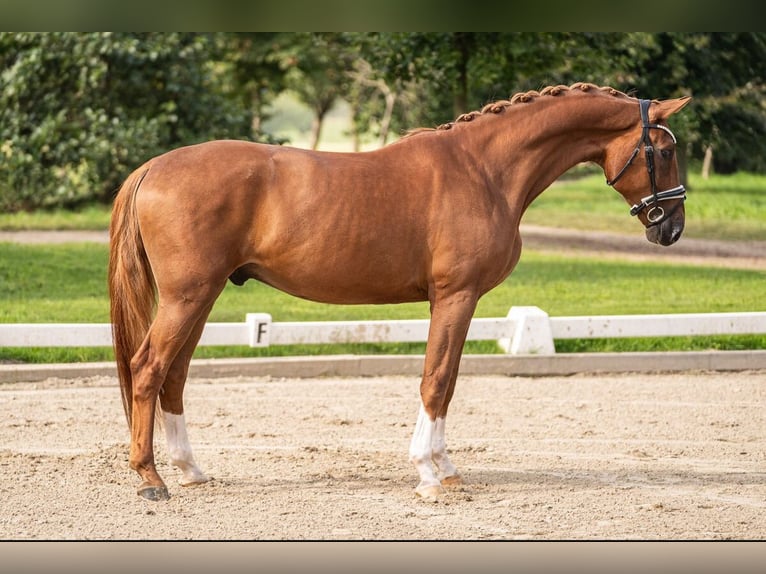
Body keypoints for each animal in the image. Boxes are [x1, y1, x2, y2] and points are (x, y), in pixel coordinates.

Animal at [106, 83, 688, 502]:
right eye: (662, 149)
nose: (672, 228)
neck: (484, 170)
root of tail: (154, 166)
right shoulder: (456, 296)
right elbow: (437, 380)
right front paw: (431, 475)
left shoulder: (455, 301)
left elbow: (445, 383)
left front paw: (444, 468)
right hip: (187, 297)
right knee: (148, 368)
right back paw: (151, 479)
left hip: (199, 298)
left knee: (175, 375)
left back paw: (190, 470)